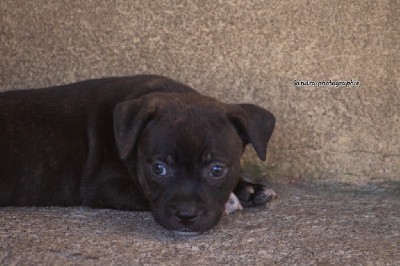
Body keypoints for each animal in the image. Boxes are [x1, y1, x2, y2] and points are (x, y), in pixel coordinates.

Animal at [0, 75, 276, 235]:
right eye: (158, 168)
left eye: (217, 170)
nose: (186, 215)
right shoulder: (104, 187)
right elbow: (143, 194)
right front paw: (232, 199)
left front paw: (250, 188)